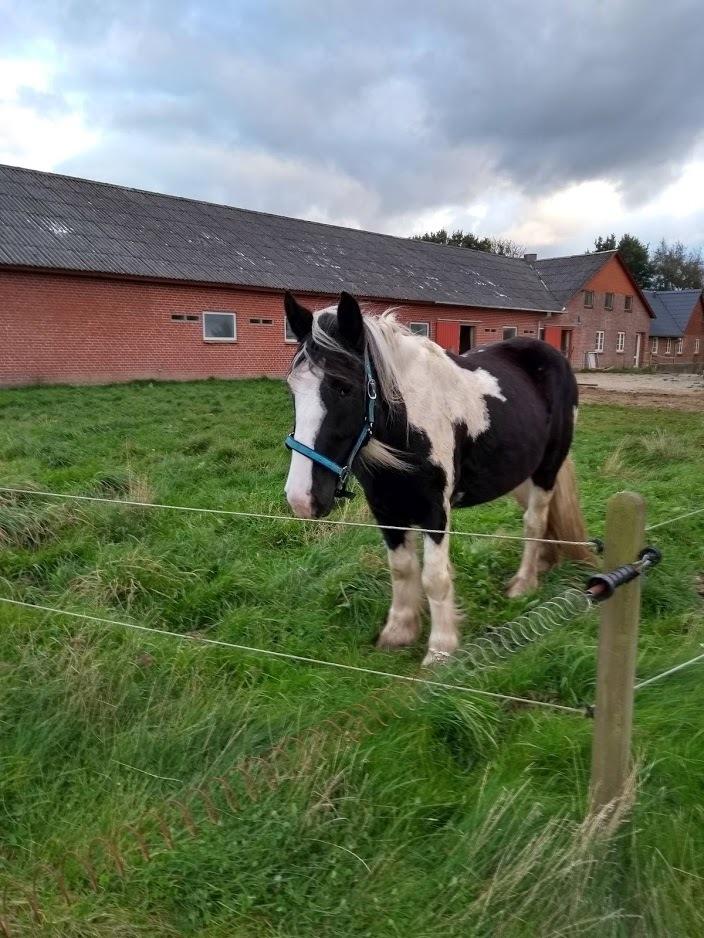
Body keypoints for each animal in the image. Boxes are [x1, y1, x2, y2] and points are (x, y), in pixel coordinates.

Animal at [284, 288, 592, 660]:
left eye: (344, 387)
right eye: (293, 389)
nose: (302, 500)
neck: (409, 426)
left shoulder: (435, 511)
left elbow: (435, 577)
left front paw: (441, 650)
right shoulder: (385, 508)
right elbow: (402, 569)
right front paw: (398, 632)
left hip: (547, 468)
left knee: (534, 521)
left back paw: (523, 584)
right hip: (520, 473)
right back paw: (544, 564)